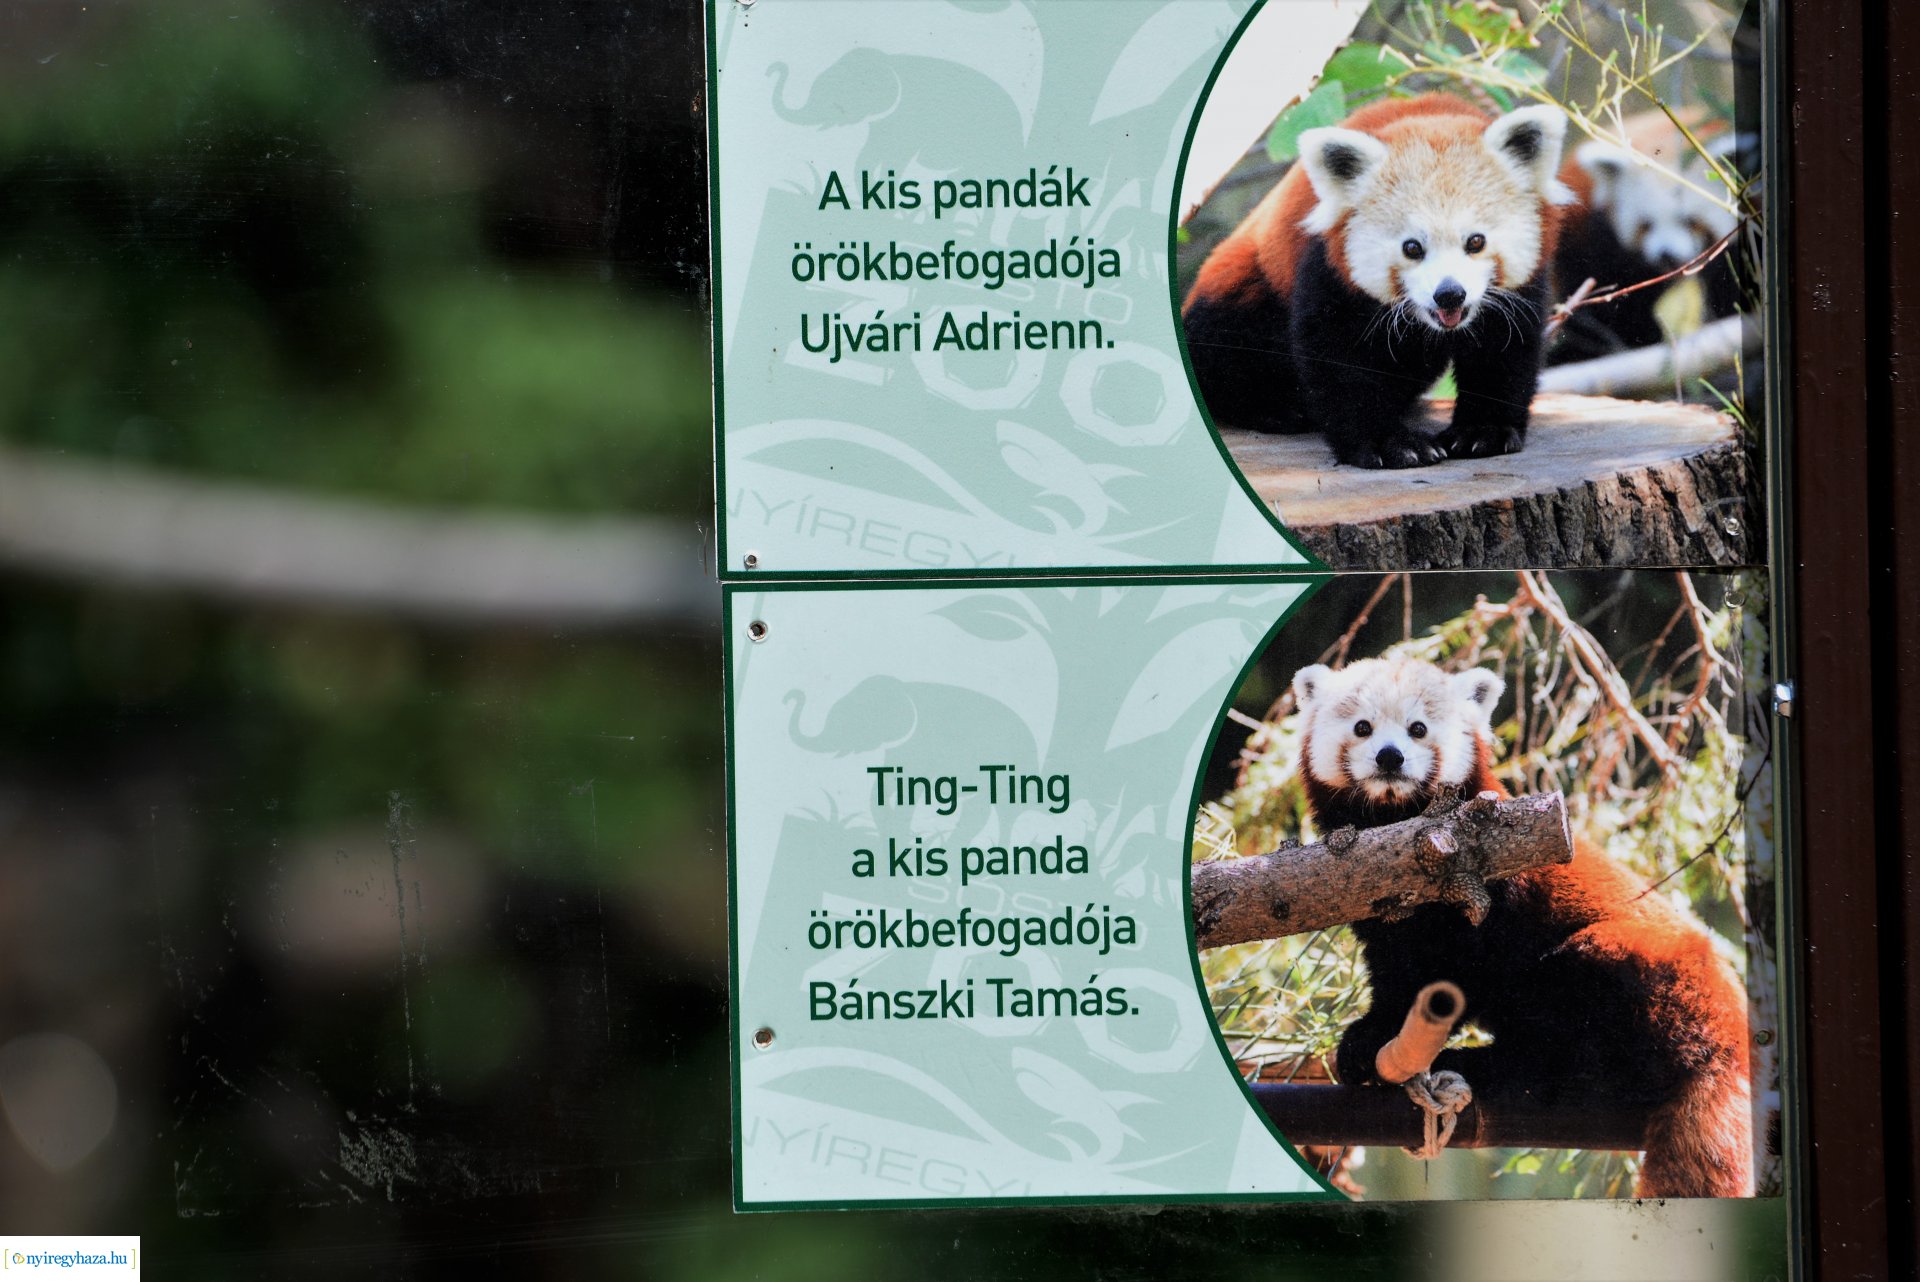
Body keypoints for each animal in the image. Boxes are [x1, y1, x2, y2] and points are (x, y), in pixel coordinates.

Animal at [1181, 94, 1575, 469]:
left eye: (1475, 242)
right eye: (1412, 247)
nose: (1449, 294)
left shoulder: (1523, 284)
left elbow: (1504, 351)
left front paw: (1483, 431)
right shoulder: (1328, 265)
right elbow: (1342, 363)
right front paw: (1392, 444)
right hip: (1245, 288)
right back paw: (1275, 410)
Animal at [1290, 654, 1754, 1198]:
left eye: (1417, 728)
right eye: (1362, 727)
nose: (1389, 757)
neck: (1395, 834)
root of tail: (1734, 1034)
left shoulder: (1487, 896)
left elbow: (1454, 976)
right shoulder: (1374, 905)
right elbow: (1396, 976)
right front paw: (1367, 1040)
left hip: (1641, 972)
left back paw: (1485, 1062)